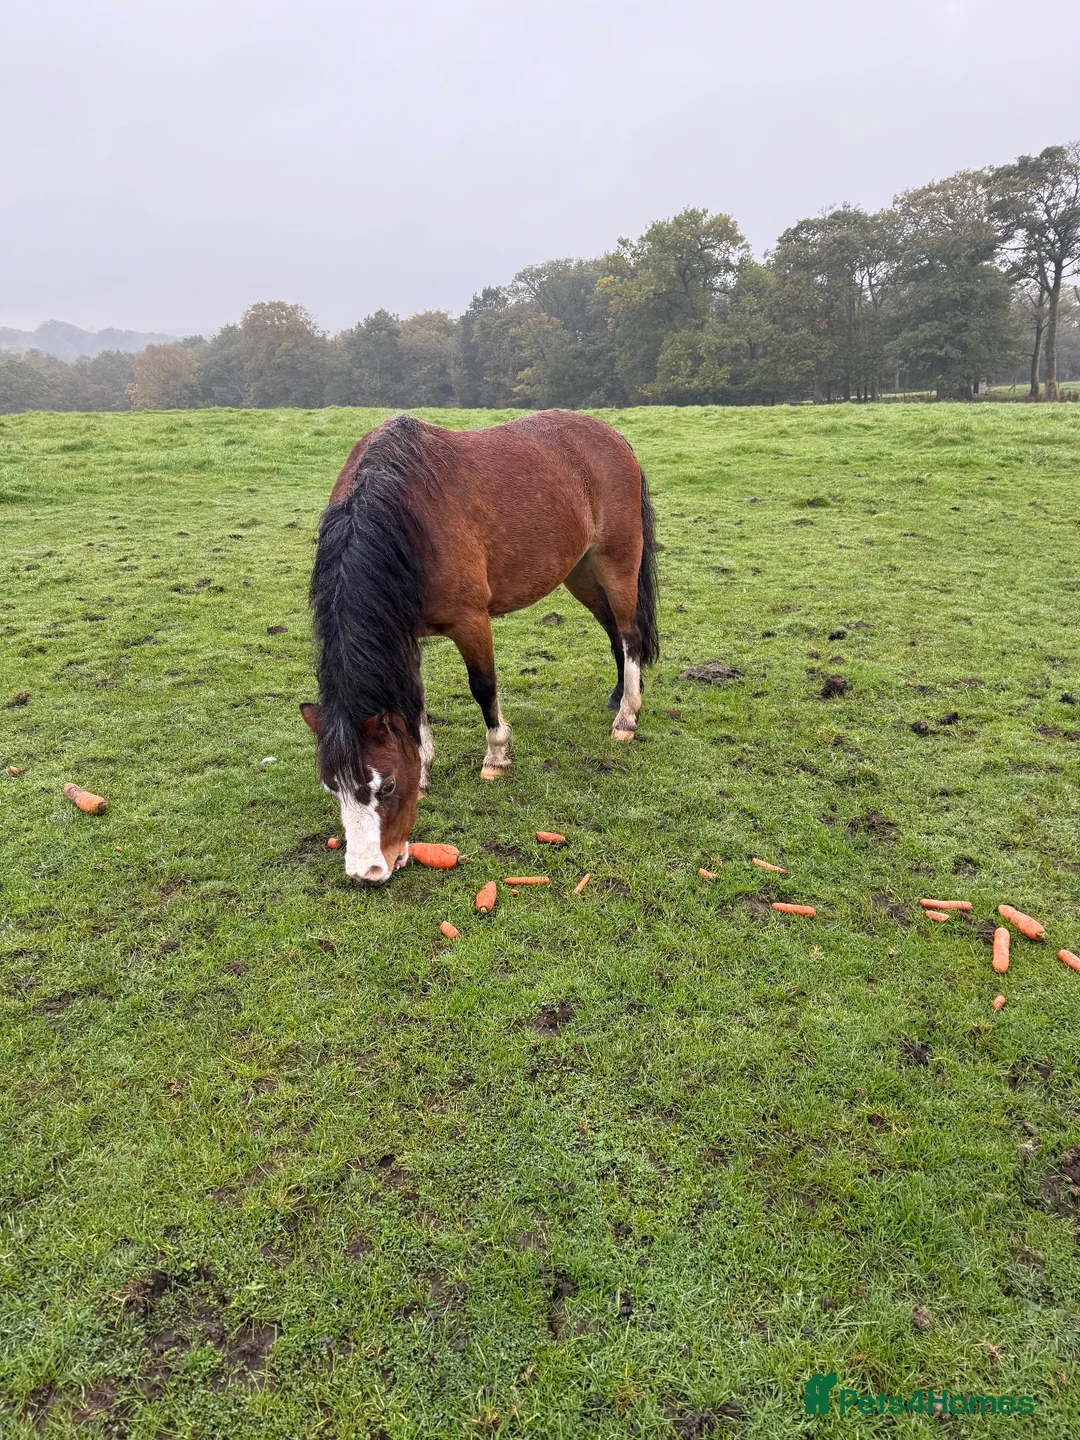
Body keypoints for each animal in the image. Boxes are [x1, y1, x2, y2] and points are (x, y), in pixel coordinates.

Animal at [300, 410, 658, 883]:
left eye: (388, 785)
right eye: (331, 786)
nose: (367, 871)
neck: (405, 515)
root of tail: (612, 435)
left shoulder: (471, 621)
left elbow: (483, 687)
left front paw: (496, 756)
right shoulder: (406, 632)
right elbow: (414, 703)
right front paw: (426, 768)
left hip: (616, 560)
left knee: (630, 635)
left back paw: (626, 717)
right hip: (580, 571)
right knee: (614, 634)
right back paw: (619, 697)